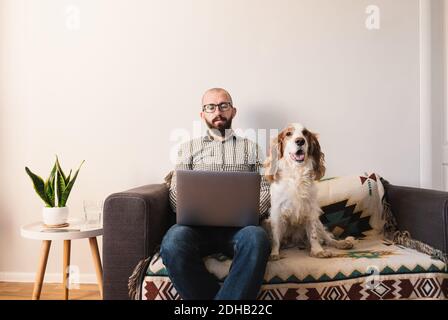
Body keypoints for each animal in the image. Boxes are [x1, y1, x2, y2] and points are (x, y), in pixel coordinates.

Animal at [262, 122, 354, 260]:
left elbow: (313, 234)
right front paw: (274, 253)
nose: (300, 141)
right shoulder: (277, 212)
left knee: (328, 238)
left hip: (319, 222)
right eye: (288, 134)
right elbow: (275, 238)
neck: (297, 173)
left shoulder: (311, 210)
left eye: (305, 133)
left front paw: (317, 251)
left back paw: (342, 243)